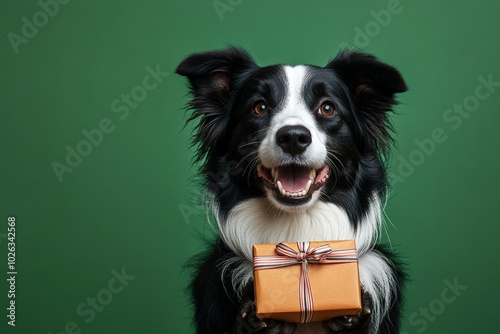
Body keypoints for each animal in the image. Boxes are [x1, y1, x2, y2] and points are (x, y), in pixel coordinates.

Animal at [178, 47, 408, 334]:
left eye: (327, 108)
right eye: (260, 107)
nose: (294, 137)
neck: (298, 230)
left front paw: (351, 318)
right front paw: (255, 318)